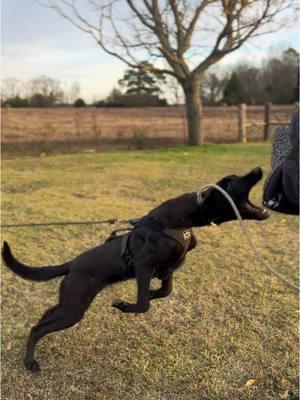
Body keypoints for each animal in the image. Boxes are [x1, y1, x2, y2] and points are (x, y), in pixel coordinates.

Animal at [1, 166, 270, 372]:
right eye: (233, 183)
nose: (258, 169)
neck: (184, 217)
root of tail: (72, 264)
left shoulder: (168, 268)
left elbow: (164, 291)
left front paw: (150, 293)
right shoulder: (143, 266)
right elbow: (143, 304)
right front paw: (124, 305)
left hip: (68, 303)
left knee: (42, 319)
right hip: (73, 310)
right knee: (37, 329)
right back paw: (30, 362)